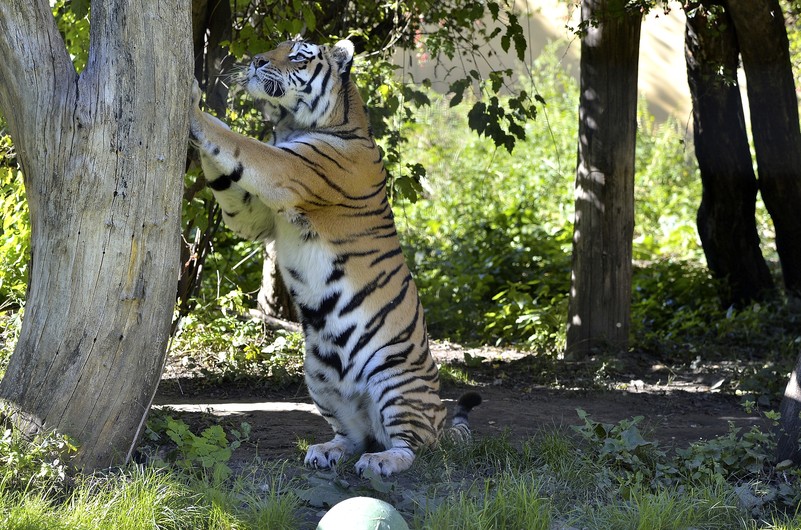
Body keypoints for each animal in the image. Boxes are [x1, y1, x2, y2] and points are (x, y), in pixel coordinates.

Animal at [188, 38, 478, 474]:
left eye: (298, 55)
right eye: (277, 45)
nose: (256, 61)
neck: (295, 123)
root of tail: (440, 421)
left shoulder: (284, 169)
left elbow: (238, 142)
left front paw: (191, 101)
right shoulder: (257, 218)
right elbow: (228, 176)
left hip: (396, 383)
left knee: (413, 446)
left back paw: (382, 461)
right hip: (319, 377)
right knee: (354, 436)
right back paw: (327, 451)